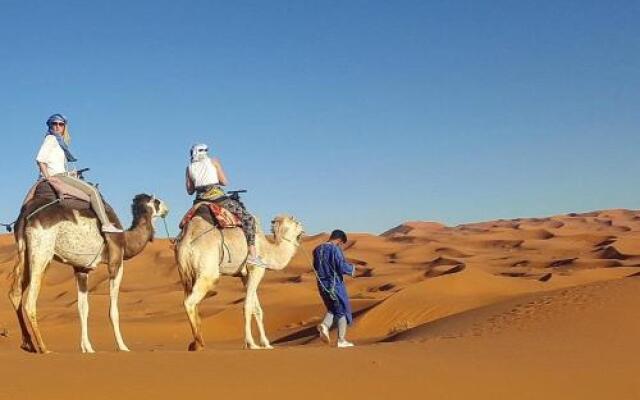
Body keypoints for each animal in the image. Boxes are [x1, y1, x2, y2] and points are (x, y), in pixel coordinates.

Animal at [8, 194, 169, 354]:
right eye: (157, 201)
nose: (167, 209)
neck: (125, 240)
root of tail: (24, 217)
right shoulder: (116, 263)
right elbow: (113, 311)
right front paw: (123, 347)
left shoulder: (81, 269)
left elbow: (83, 308)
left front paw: (87, 348)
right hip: (41, 252)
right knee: (30, 301)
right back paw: (44, 348)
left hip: (25, 253)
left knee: (15, 293)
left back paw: (28, 344)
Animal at [174, 212, 304, 350]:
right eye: (297, 223)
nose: (303, 229)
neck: (268, 250)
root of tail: (186, 243)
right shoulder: (256, 269)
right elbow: (247, 306)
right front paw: (251, 344)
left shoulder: (245, 276)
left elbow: (257, 309)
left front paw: (266, 344)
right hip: (208, 272)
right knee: (189, 302)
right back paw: (199, 343)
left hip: (185, 274)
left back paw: (195, 344)